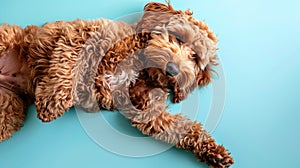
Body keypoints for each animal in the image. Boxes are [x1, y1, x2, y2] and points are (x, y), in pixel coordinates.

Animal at [0, 1, 233, 168]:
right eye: (179, 38)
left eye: (195, 57)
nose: (173, 70)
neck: (142, 68)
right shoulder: (81, 35)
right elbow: (65, 66)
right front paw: (52, 102)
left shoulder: (146, 109)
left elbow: (180, 128)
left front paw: (214, 152)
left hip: (10, 111)